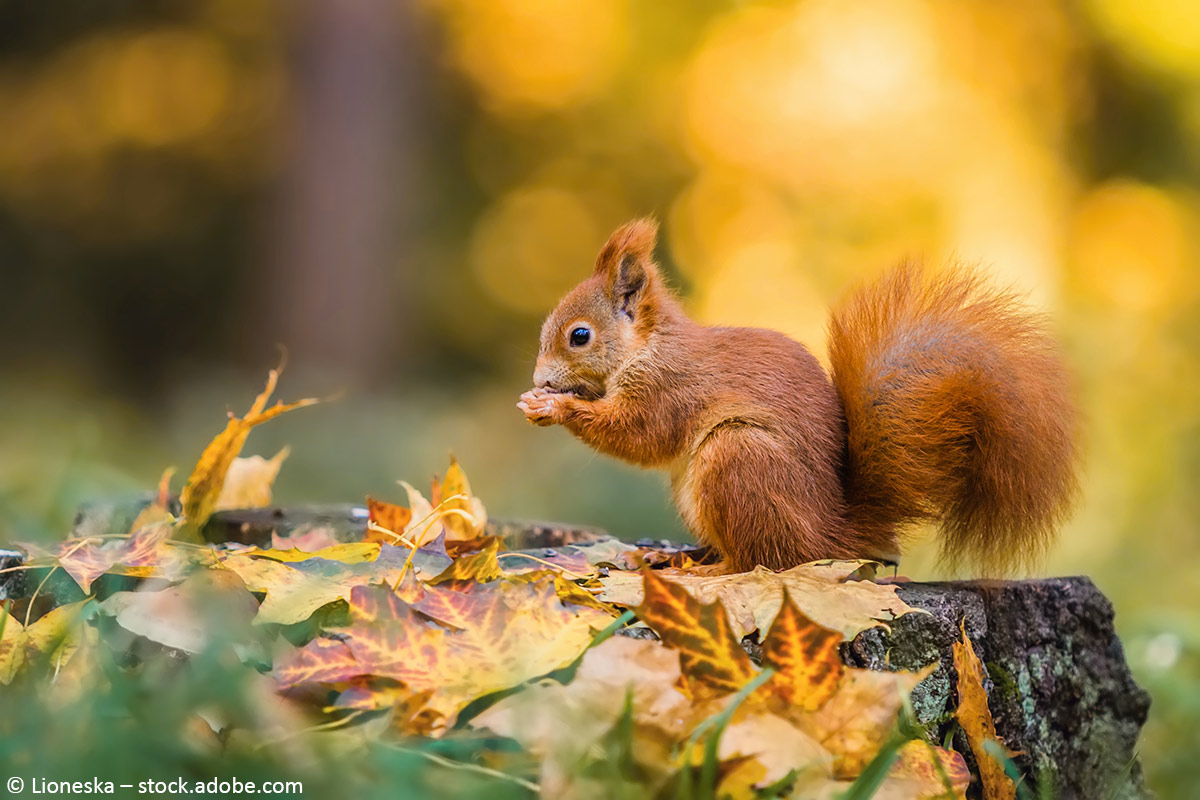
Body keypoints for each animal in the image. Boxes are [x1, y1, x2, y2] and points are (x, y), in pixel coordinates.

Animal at [517, 218, 1078, 573]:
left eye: (579, 336)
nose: (540, 380)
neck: (647, 346)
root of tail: (833, 536)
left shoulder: (669, 387)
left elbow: (639, 435)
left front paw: (554, 407)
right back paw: (674, 557)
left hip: (738, 460)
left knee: (761, 562)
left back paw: (703, 572)